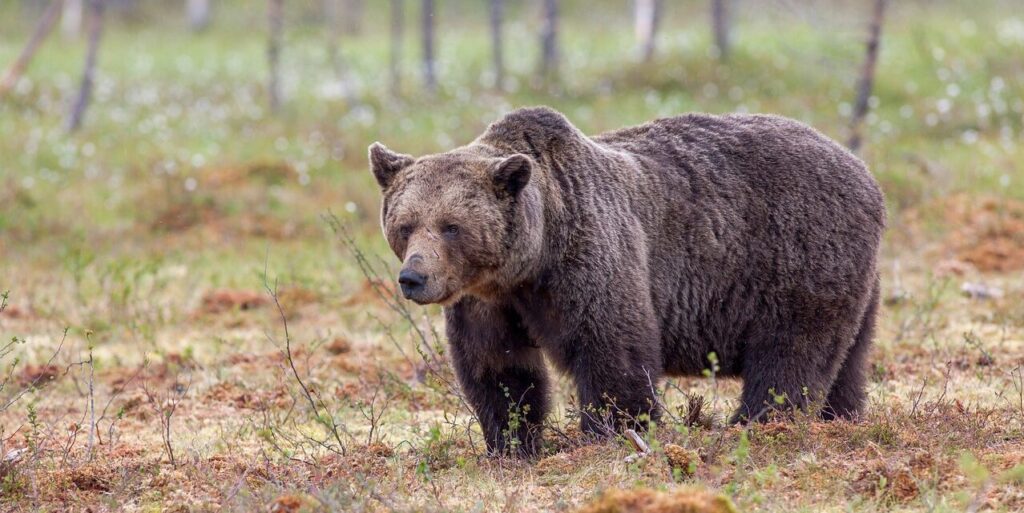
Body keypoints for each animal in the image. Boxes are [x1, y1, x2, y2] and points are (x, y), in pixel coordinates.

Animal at [368, 106, 885, 456]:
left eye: (451, 225)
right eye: (405, 224)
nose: (414, 277)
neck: (529, 261)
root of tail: (862, 169)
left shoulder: (590, 256)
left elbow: (612, 349)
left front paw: (614, 433)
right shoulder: (488, 301)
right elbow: (499, 368)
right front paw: (512, 442)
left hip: (799, 255)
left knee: (790, 353)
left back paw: (757, 424)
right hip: (860, 284)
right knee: (848, 358)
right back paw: (841, 418)